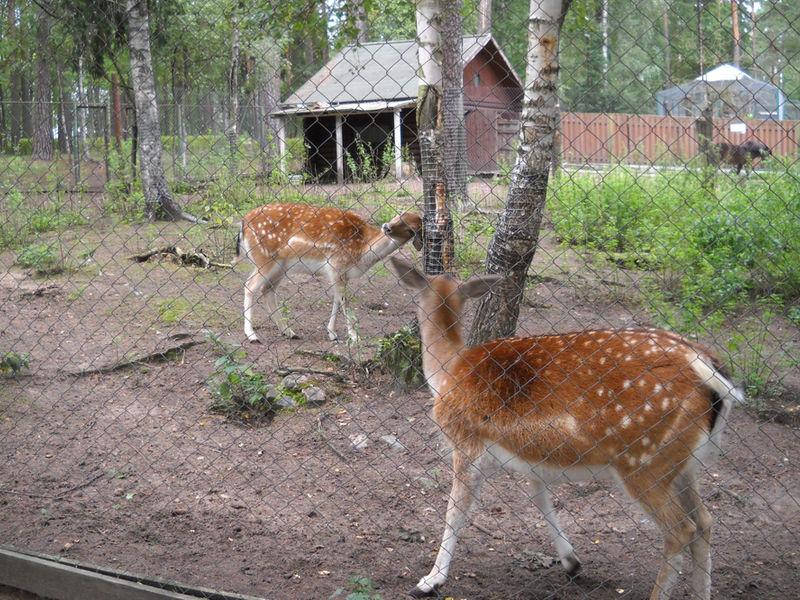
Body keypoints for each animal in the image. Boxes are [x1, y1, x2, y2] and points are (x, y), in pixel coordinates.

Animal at [238, 204, 424, 342]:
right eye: (400, 214)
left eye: (412, 230)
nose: (387, 227)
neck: (363, 251)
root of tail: (243, 223)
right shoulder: (337, 265)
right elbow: (344, 301)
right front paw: (354, 336)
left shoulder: (340, 273)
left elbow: (336, 299)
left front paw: (332, 333)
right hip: (264, 258)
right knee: (250, 286)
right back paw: (252, 335)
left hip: (280, 266)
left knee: (267, 290)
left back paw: (289, 332)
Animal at [390, 258, 744, 600]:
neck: (447, 371)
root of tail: (709, 368)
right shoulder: (530, 453)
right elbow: (539, 497)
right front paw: (572, 562)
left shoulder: (465, 440)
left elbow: (455, 511)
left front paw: (430, 581)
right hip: (681, 464)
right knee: (705, 521)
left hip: (643, 462)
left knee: (680, 530)